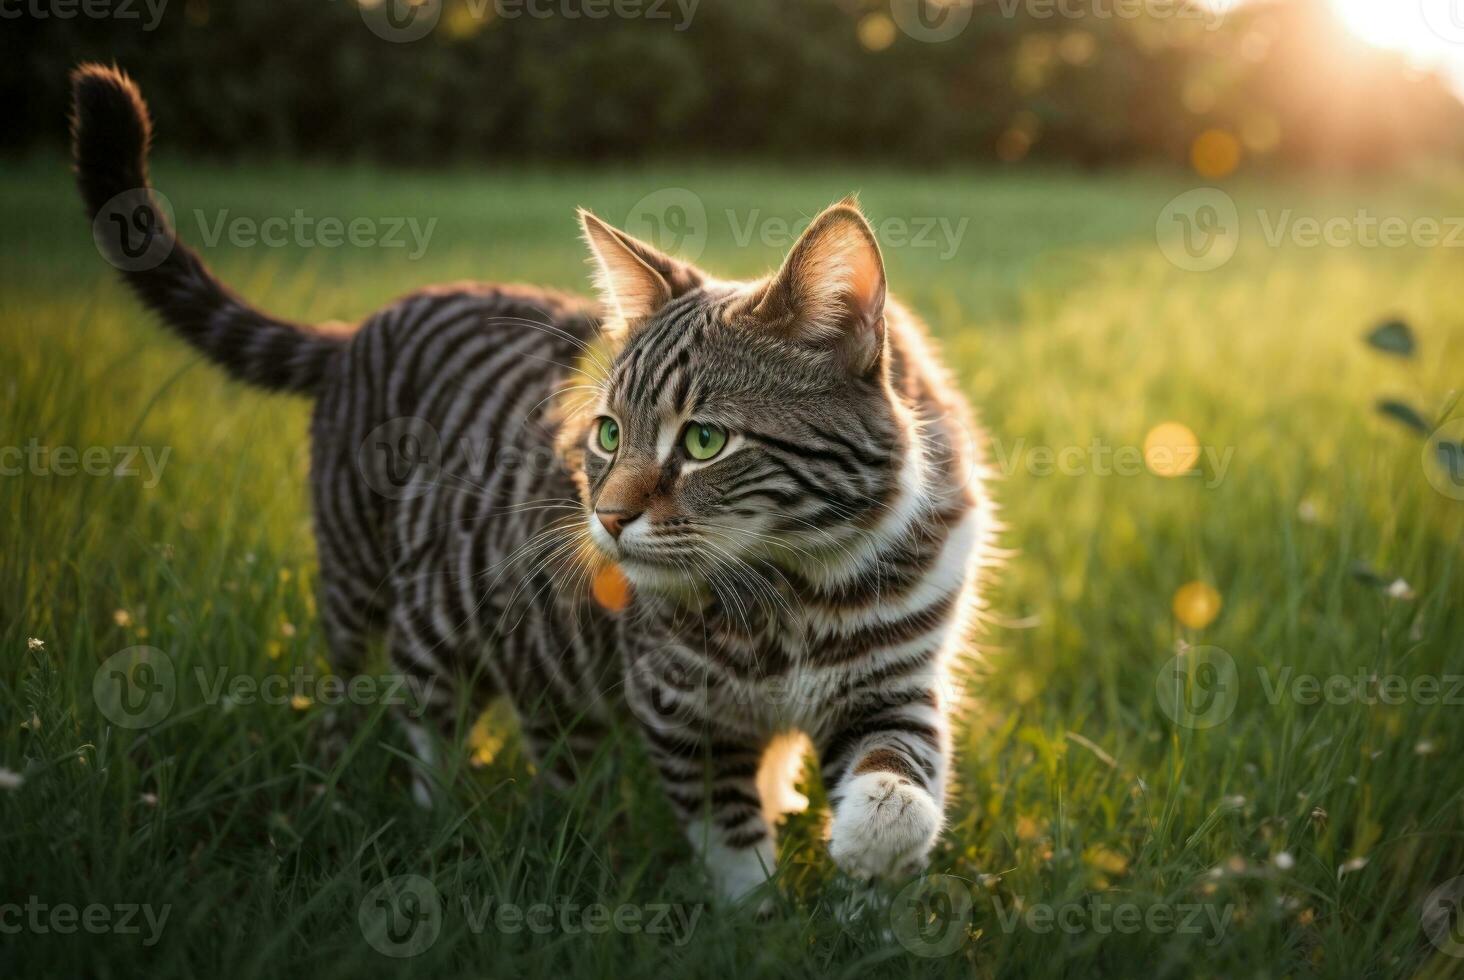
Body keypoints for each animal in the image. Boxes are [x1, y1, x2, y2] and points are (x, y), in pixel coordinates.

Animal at [74, 62, 1001, 902]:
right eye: (608, 433)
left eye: (704, 440)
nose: (610, 518)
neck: (796, 589)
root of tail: (358, 327)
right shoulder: (677, 707)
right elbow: (730, 839)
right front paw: (757, 922)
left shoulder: (893, 682)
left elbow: (901, 775)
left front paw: (875, 861)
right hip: (390, 612)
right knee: (394, 725)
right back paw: (402, 811)